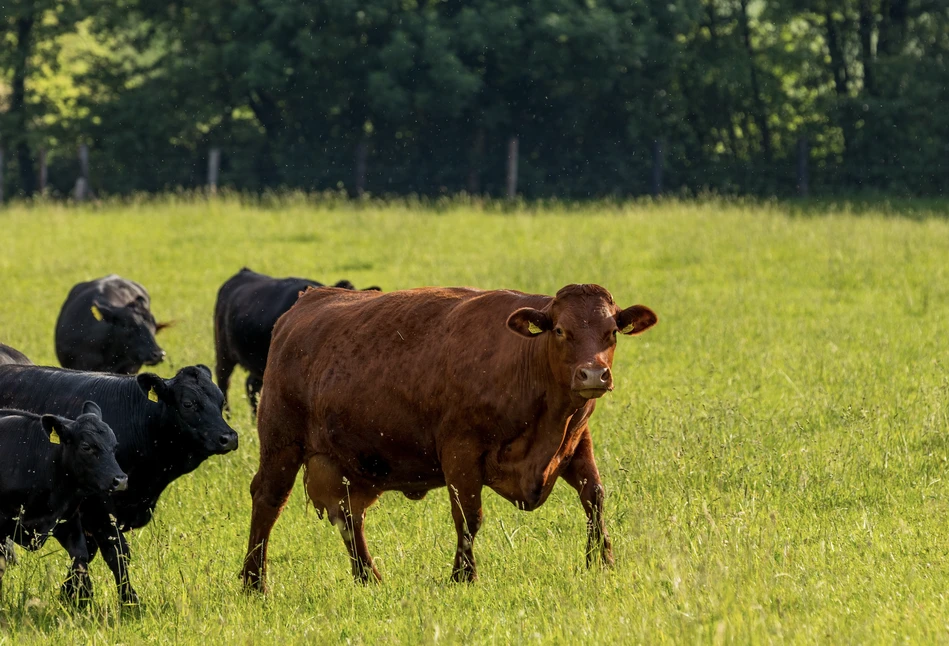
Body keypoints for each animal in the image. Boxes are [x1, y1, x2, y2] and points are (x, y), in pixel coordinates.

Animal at [241, 284, 656, 592]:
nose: (593, 374)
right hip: (281, 442)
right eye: (560, 330)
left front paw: (601, 561)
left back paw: (368, 577)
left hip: (349, 464)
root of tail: (310, 298)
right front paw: (463, 576)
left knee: (348, 515)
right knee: (268, 501)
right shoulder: (461, 452)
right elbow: (469, 516)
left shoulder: (575, 441)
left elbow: (594, 497)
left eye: (611, 332)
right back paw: (253, 581)